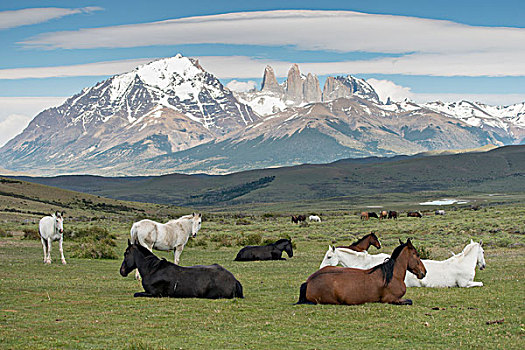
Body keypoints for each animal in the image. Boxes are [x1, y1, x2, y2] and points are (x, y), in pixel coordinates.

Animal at [296, 239, 424, 304]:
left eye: (329, 257)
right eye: (417, 254)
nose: (424, 272)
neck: (392, 275)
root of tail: (309, 281)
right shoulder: (391, 299)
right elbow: (409, 301)